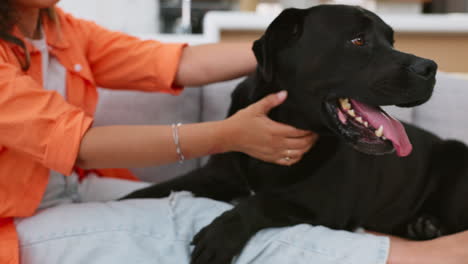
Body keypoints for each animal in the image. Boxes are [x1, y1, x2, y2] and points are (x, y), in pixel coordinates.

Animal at [121, 5, 468, 264]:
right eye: (358, 41)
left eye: (392, 41)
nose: (430, 67)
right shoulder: (214, 176)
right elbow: (145, 193)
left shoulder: (322, 208)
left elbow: (263, 201)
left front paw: (220, 234)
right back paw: (423, 227)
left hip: (455, 160)